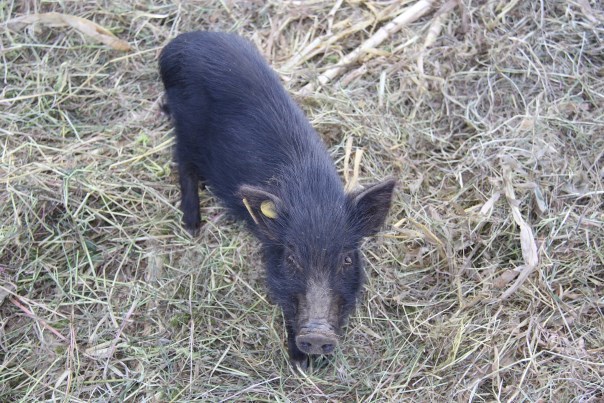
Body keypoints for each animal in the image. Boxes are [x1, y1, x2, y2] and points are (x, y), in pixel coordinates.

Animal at [159, 32, 396, 370]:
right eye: (292, 259)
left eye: (347, 260)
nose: (318, 335)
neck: (314, 197)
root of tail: (176, 46)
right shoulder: (272, 261)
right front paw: (299, 362)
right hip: (185, 127)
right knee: (182, 161)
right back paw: (193, 226)